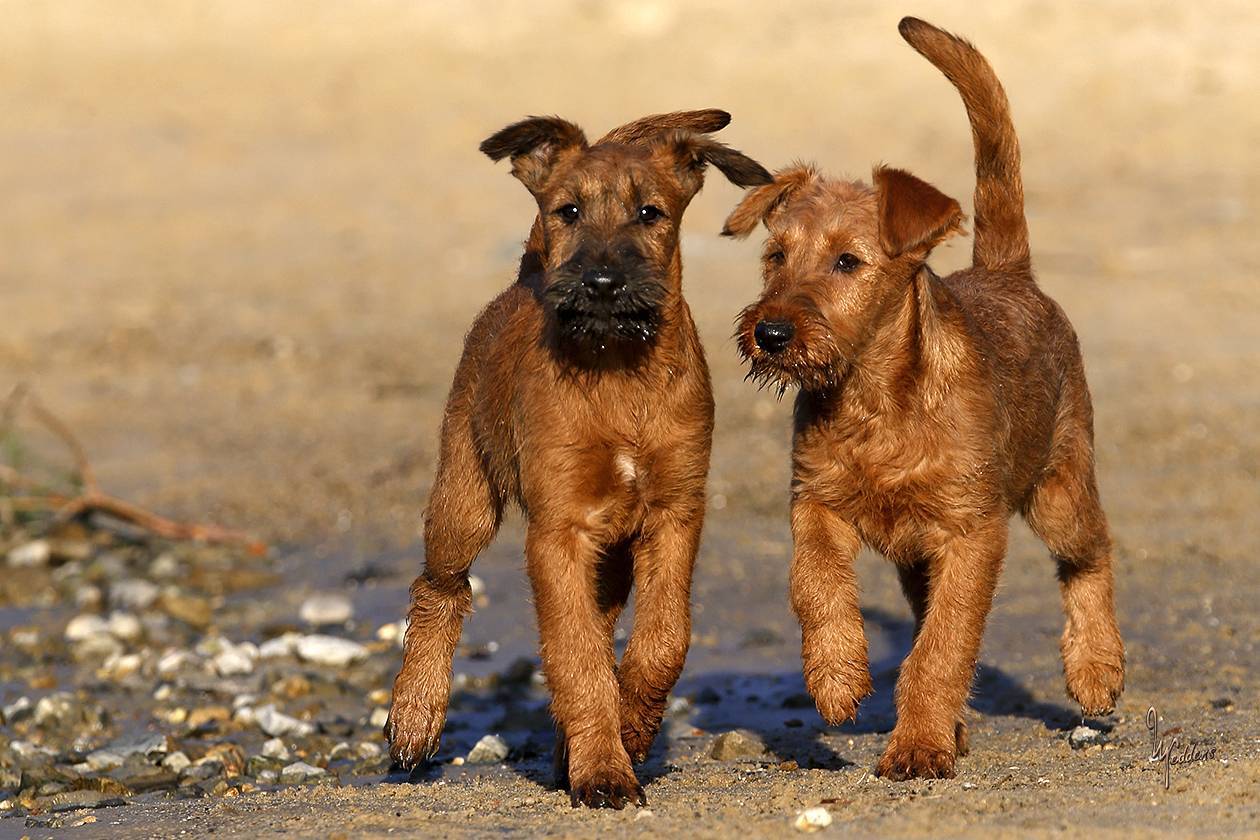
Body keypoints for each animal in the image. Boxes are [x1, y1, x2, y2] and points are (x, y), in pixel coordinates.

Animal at [725, 18, 1128, 780]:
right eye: (776, 256)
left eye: (847, 262)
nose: (771, 332)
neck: (875, 401)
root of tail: (1008, 273)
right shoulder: (815, 503)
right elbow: (816, 586)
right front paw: (837, 676)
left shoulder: (971, 534)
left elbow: (943, 647)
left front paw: (917, 746)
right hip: (918, 558)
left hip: (1059, 488)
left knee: (1090, 555)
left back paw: (1096, 667)